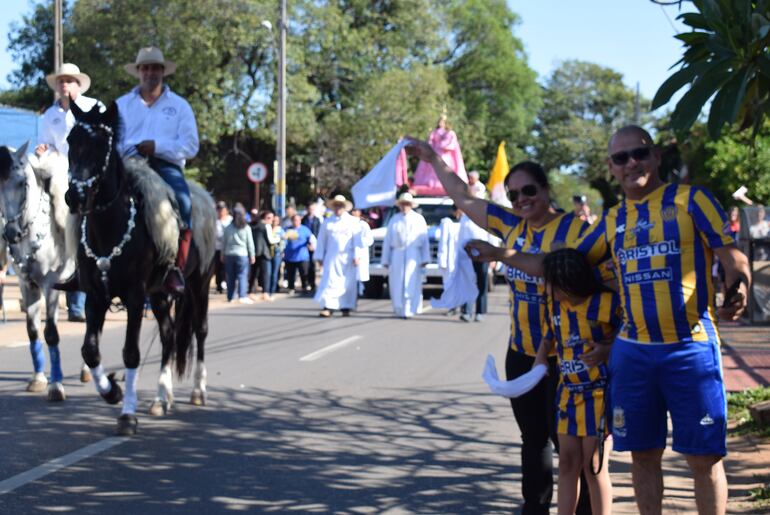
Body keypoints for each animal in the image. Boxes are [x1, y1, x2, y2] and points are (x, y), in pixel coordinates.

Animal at [0, 143, 78, 402]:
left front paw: (56, 386)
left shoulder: (51, 284)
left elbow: (51, 333)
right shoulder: (27, 285)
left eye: (21, 182)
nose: (11, 233)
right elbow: (33, 331)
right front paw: (38, 379)